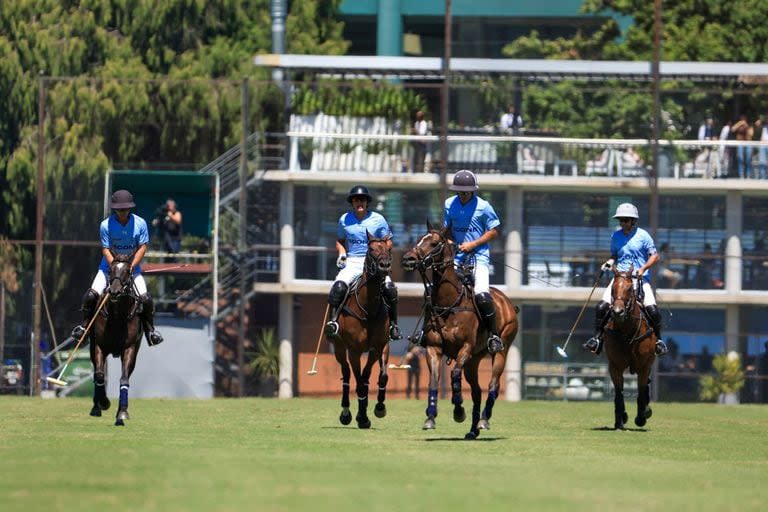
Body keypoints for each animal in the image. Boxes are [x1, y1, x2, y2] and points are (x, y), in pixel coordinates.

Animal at [90, 251, 144, 424]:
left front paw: (122, 412)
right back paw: (96, 406)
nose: (114, 292)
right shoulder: (99, 346)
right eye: (111, 270)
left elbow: (124, 379)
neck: (117, 315)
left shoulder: (130, 348)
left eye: (127, 271)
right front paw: (104, 402)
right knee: (96, 373)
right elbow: (100, 375)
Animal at [328, 233, 392, 428]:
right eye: (371, 249)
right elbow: (360, 383)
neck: (368, 308)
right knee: (346, 375)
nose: (385, 265)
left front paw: (378, 408)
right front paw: (362, 418)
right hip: (339, 348)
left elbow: (379, 376)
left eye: (389, 248)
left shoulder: (379, 347)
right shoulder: (354, 351)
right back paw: (346, 413)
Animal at [400, 222, 520, 438]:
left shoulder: (466, 347)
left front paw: (458, 410)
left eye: (434, 243)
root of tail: (508, 303)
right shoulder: (433, 348)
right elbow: (434, 380)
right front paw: (430, 416)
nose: (408, 259)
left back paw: (484, 420)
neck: (449, 303)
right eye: (419, 239)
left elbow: (454, 375)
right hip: (474, 360)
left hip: (502, 350)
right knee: (477, 391)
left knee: (493, 384)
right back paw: (472, 431)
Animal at [604, 266, 656, 430]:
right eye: (612, 288)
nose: (617, 312)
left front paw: (641, 417)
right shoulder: (615, 366)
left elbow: (641, 392)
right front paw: (620, 420)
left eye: (629, 289)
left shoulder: (644, 366)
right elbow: (618, 394)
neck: (628, 331)